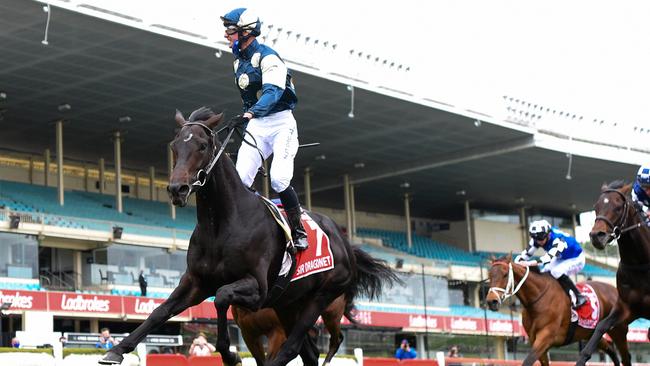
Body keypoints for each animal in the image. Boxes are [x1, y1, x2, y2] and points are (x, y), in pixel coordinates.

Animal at [484, 254, 624, 366]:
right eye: (489, 275)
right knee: (610, 349)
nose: (492, 301)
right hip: (591, 333)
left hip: (615, 329)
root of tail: (614, 289)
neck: (538, 298)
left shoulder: (545, 337)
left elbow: (527, 362)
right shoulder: (535, 341)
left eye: (505, 274)